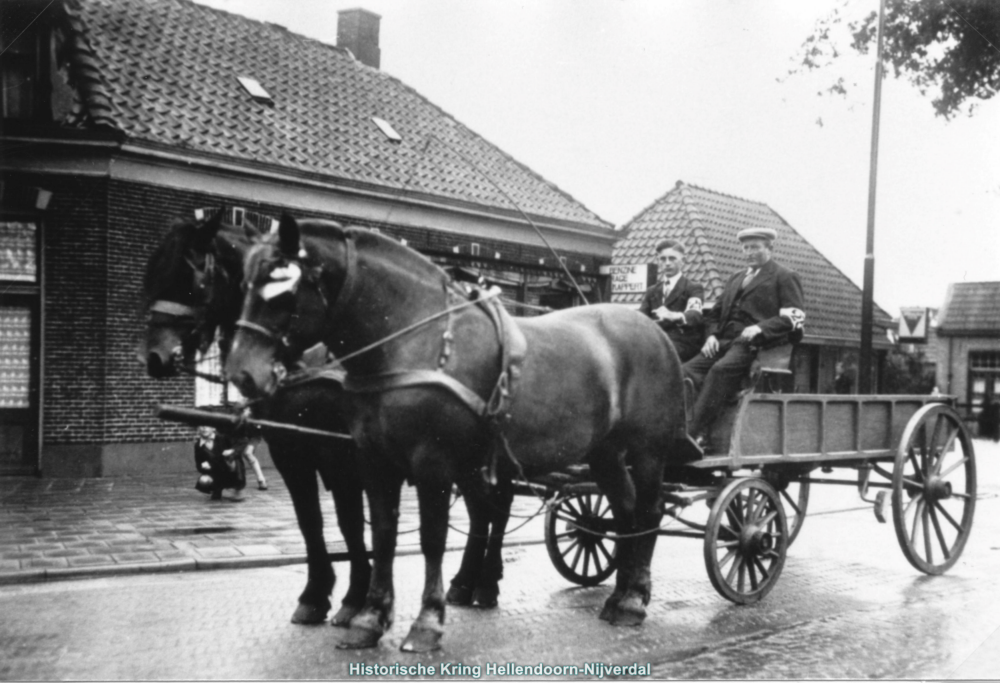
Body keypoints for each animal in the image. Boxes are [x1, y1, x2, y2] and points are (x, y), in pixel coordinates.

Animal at [228, 216, 692, 656]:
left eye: (284, 288)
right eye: (243, 281)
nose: (242, 373)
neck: (413, 337)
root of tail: (654, 330)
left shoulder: (430, 463)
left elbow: (432, 539)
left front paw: (426, 624)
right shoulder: (372, 460)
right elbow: (381, 535)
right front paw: (369, 620)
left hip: (648, 452)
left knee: (648, 511)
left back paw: (632, 601)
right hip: (604, 453)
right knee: (625, 512)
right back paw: (618, 597)